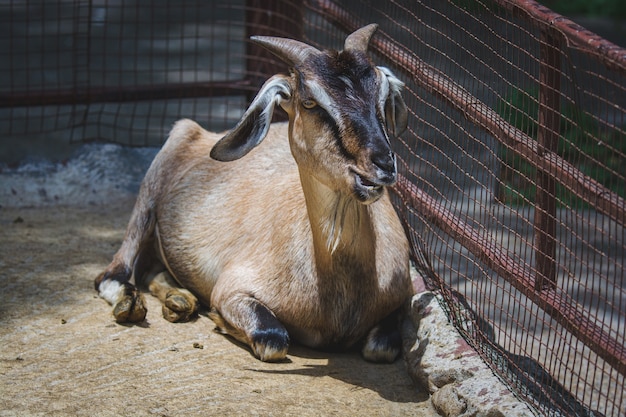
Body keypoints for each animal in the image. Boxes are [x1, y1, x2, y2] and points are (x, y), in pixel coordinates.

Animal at [95, 24, 412, 360]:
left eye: (382, 96)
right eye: (310, 102)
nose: (382, 164)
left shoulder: (401, 296)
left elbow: (381, 347)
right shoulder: (231, 289)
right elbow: (273, 339)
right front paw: (219, 321)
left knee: (149, 270)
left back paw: (179, 301)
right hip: (151, 189)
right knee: (112, 274)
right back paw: (132, 304)